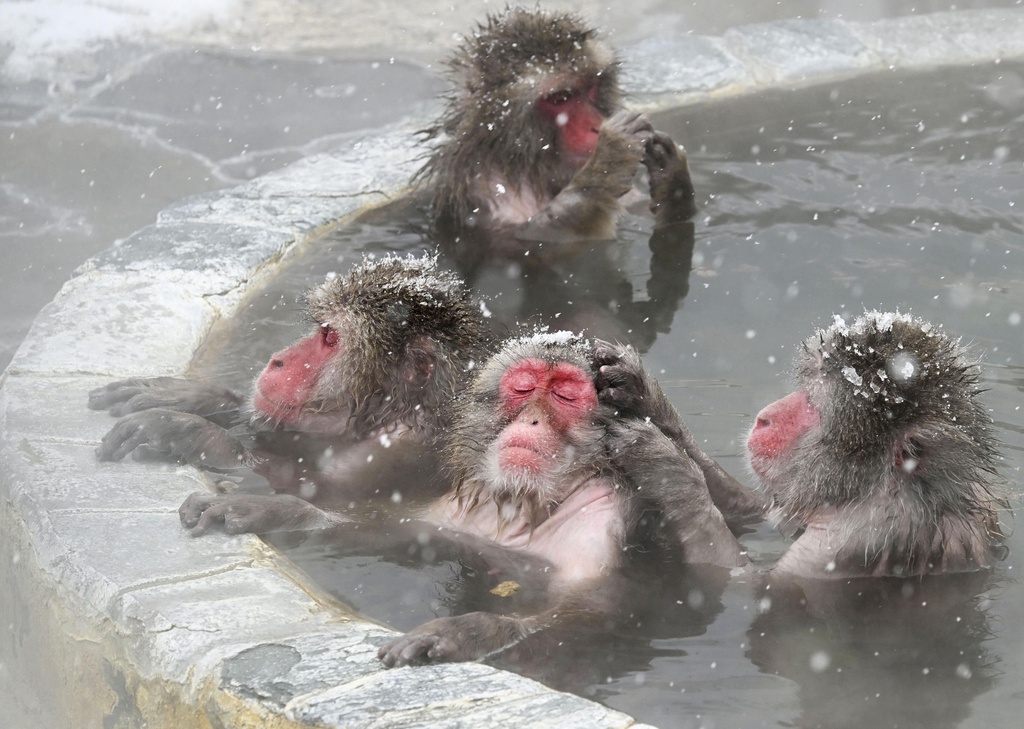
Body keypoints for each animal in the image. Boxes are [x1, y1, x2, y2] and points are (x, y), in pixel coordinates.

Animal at [89, 254, 487, 502]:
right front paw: (192, 398)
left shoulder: (398, 451)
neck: (391, 415)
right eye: (321, 329)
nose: (277, 360)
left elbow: (320, 492)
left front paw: (189, 432)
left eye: (330, 338)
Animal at [178, 331, 746, 666]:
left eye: (566, 394)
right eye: (524, 388)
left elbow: (595, 611)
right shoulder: (459, 513)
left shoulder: (605, 522)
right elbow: (398, 532)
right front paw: (273, 508)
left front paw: (468, 632)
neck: (528, 503)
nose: (532, 422)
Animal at [420, 7, 696, 258]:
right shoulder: (488, 189)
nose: (597, 125)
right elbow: (539, 237)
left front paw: (671, 176)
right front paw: (608, 161)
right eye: (560, 98)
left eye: (591, 86)